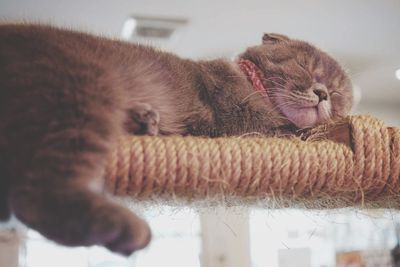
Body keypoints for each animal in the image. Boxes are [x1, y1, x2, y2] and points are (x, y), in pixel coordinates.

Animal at [0, 24, 354, 256]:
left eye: (337, 92)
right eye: (304, 66)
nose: (323, 93)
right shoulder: (254, 125)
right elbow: (300, 133)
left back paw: (143, 121)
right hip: (83, 84)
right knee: (35, 193)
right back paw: (127, 230)